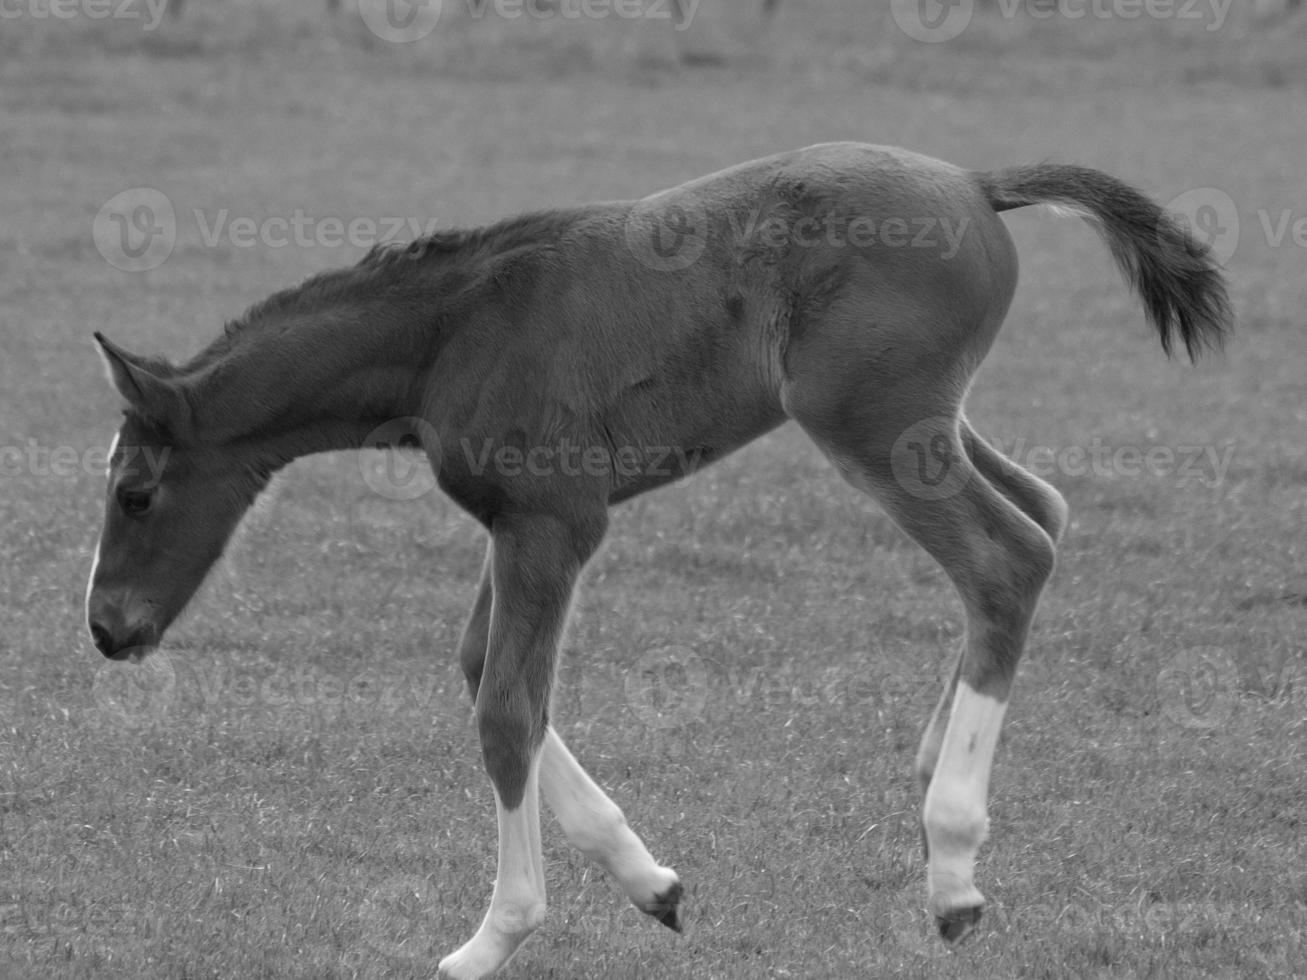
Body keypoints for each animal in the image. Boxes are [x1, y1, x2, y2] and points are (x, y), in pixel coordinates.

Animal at [86, 141, 1228, 977]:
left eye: (135, 492)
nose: (104, 628)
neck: (451, 331)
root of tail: (975, 184)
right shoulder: (514, 527)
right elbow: (483, 671)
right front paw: (653, 884)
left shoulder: (552, 521)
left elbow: (505, 710)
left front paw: (493, 936)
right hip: (923, 420)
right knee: (1043, 513)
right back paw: (932, 769)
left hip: (870, 423)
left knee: (1003, 558)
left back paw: (950, 860)